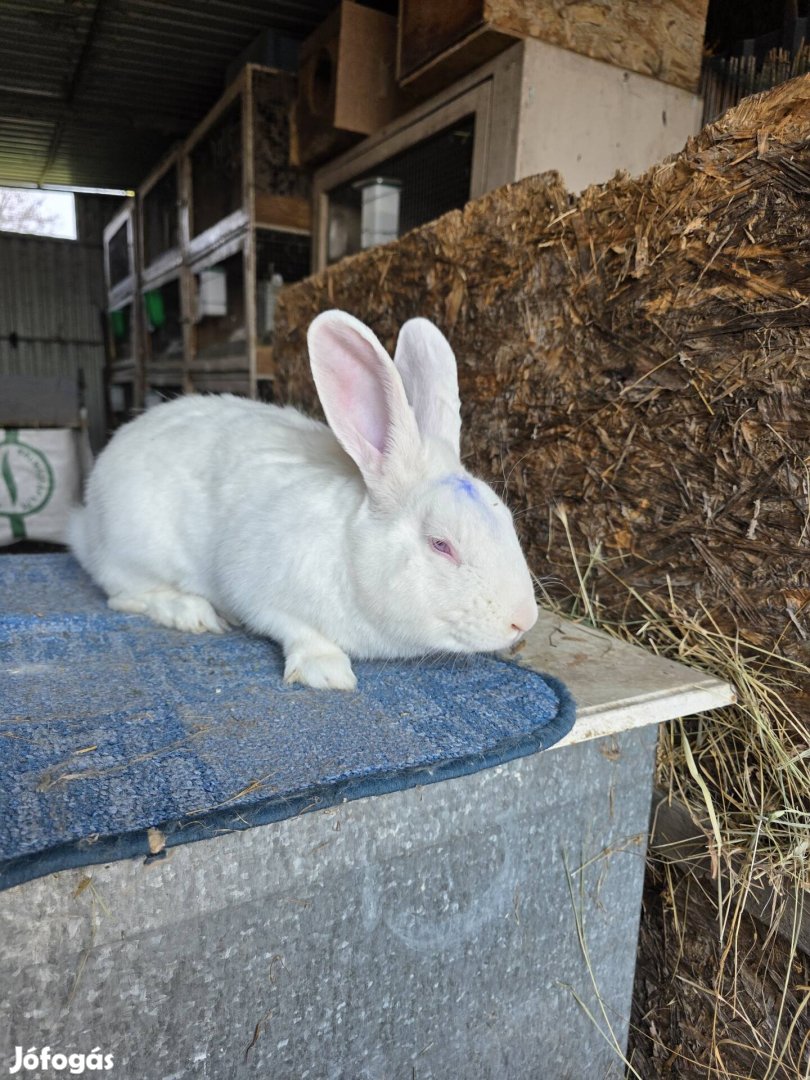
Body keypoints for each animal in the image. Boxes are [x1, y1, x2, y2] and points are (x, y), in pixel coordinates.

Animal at [69, 311, 538, 690]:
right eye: (441, 545)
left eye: (508, 520)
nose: (524, 620)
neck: (350, 551)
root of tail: (85, 523)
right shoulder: (257, 589)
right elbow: (296, 629)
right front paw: (327, 673)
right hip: (136, 550)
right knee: (121, 594)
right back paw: (191, 612)